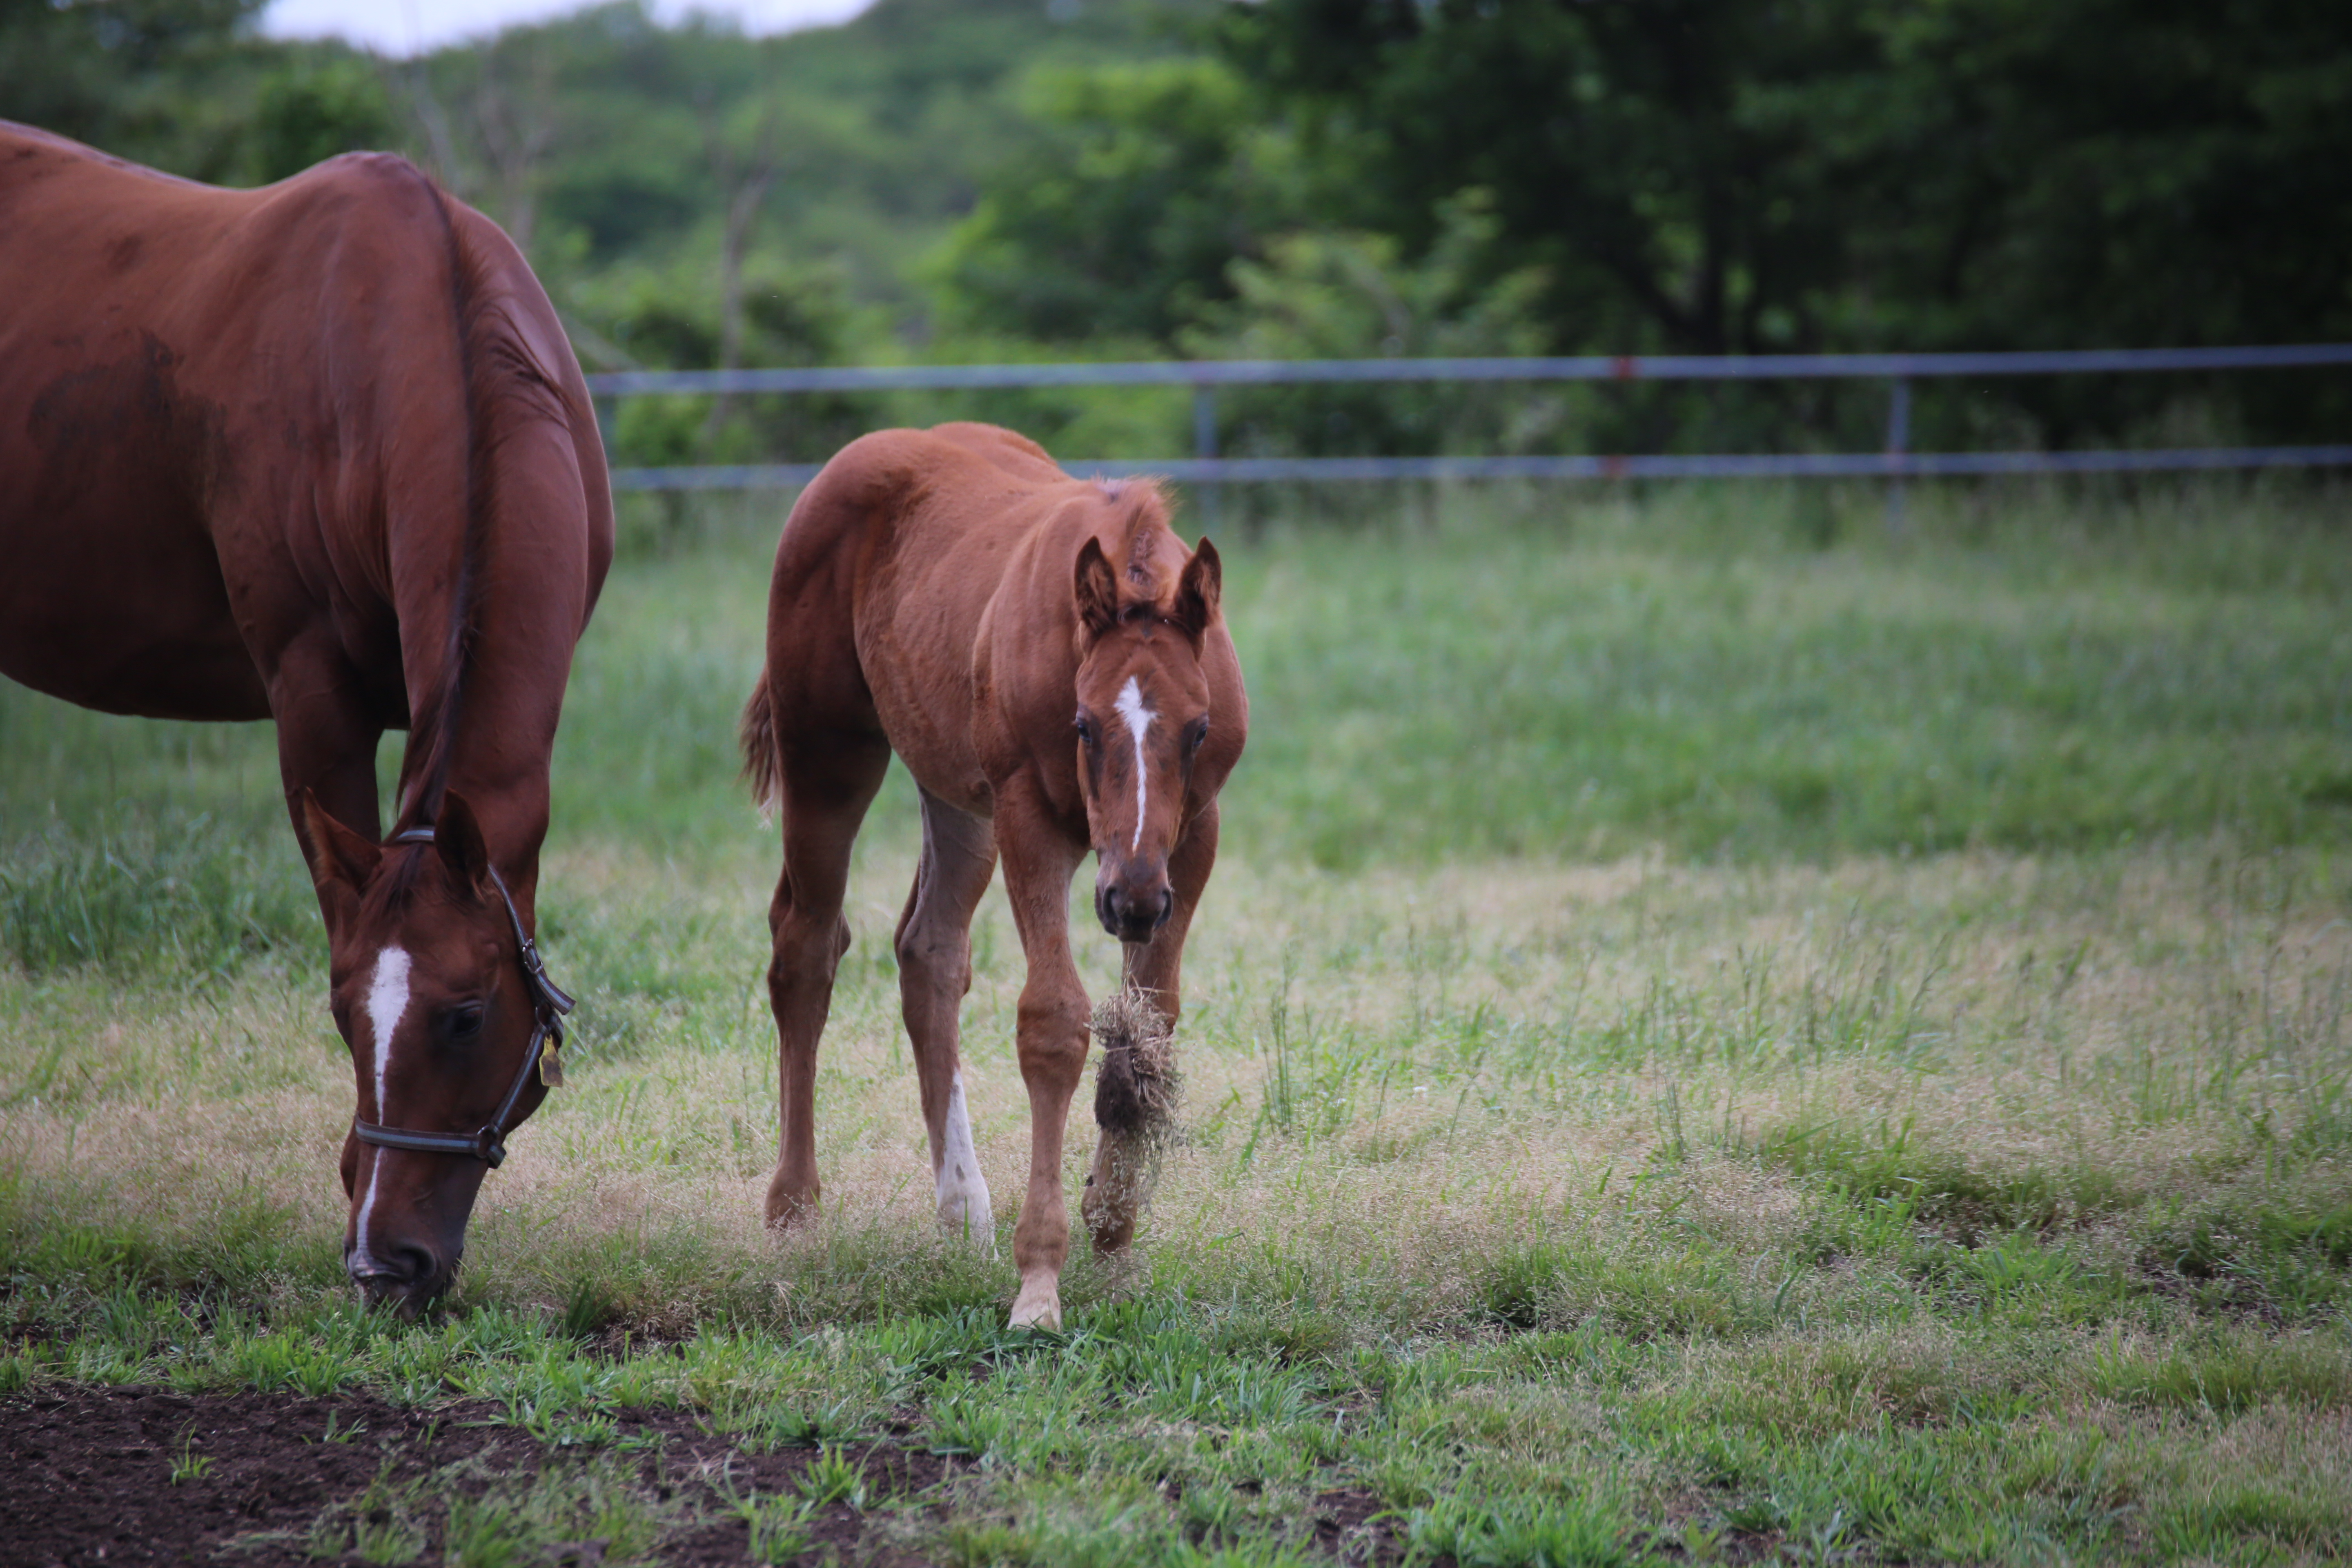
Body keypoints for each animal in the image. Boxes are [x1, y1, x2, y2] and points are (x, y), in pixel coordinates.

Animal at [743, 423, 1251, 1335]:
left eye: (1197, 730)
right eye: (1084, 725)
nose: (1130, 900)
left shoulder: (1193, 836)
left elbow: (1148, 1035)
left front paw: (1113, 1238)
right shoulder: (1030, 820)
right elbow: (1052, 1023)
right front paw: (1040, 1283)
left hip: (957, 801)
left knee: (929, 953)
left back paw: (962, 1209)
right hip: (828, 753)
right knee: (805, 946)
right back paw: (795, 1212)